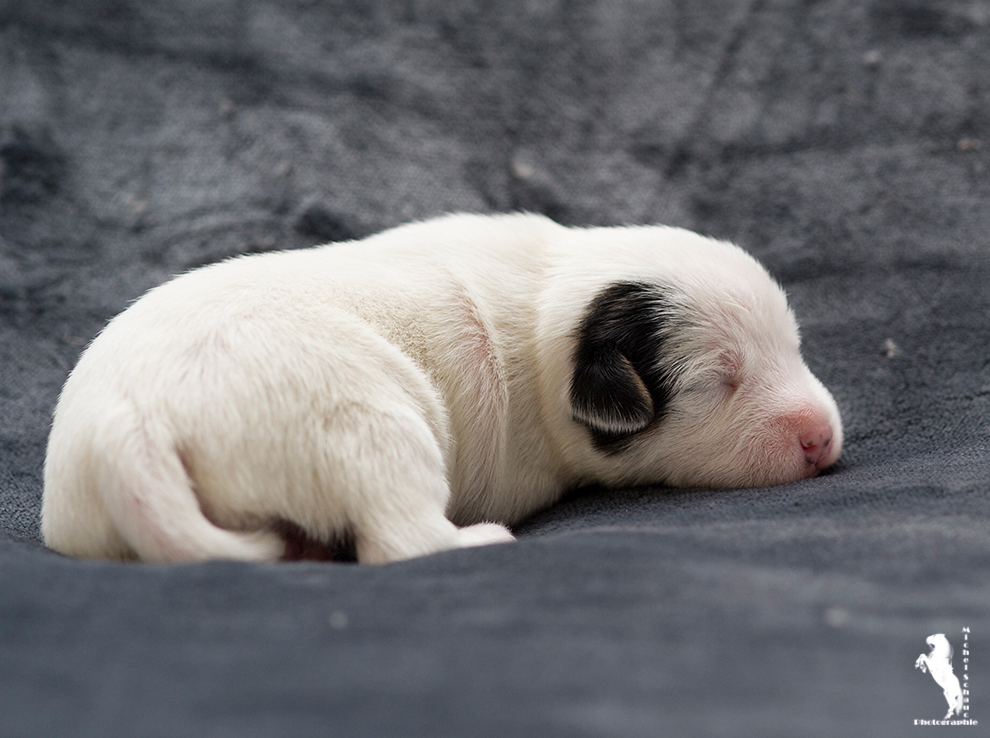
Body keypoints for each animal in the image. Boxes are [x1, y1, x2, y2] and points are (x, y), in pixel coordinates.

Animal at [40, 213, 844, 564]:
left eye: (794, 346)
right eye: (720, 382)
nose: (823, 437)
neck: (551, 305)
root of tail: (131, 422)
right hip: (368, 426)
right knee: (399, 539)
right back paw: (478, 539)